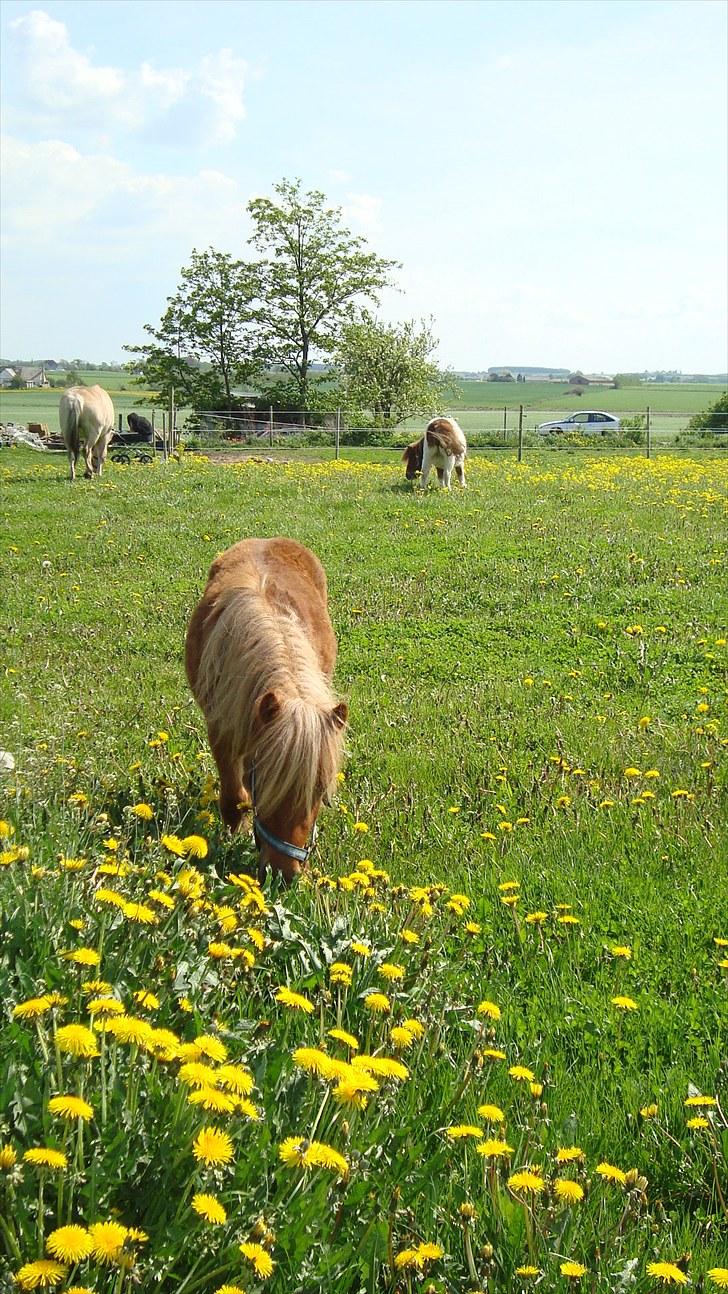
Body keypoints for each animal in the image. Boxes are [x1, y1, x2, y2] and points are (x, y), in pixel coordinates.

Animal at [186, 535, 349, 879]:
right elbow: (234, 797)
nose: (284, 874)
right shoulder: (221, 728)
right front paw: (231, 835)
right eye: (263, 781)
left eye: (320, 792)